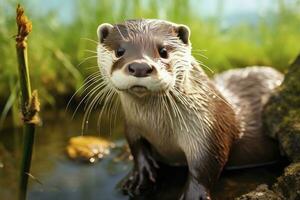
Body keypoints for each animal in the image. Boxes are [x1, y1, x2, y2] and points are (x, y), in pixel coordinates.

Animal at [95, 19, 284, 200]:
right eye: (119, 51)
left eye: (163, 51)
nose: (140, 67)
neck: (160, 131)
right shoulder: (132, 125)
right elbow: (136, 147)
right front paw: (139, 177)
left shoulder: (209, 128)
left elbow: (206, 166)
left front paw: (193, 195)